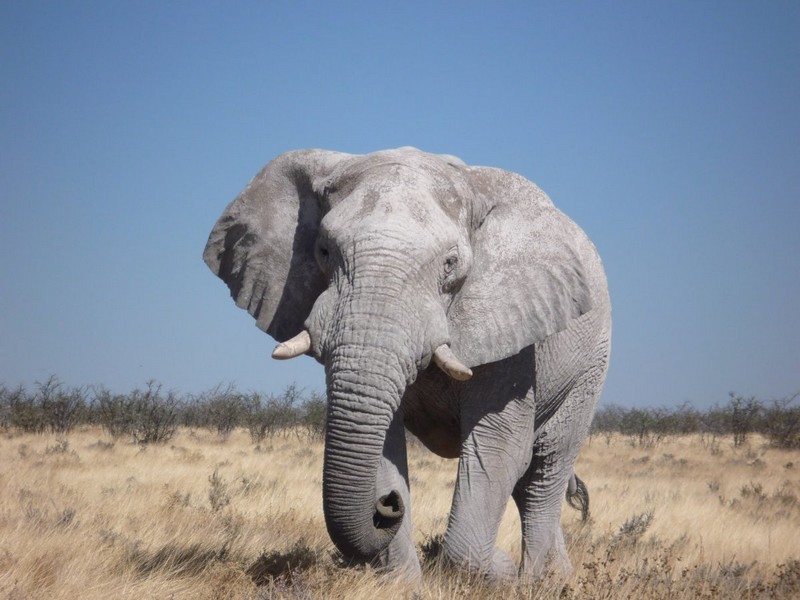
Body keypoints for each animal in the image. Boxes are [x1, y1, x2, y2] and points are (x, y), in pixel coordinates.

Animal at [203, 146, 608, 580]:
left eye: (450, 263)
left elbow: (500, 447)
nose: (386, 504)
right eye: (324, 251)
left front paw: (494, 571)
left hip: (590, 368)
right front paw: (402, 583)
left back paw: (538, 581)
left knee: (544, 469)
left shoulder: (512, 328)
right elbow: (385, 442)